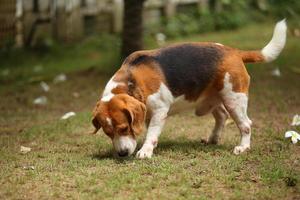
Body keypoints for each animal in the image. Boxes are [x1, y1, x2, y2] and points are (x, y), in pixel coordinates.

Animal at [91, 19, 286, 158]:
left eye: (124, 128)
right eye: (108, 133)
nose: (122, 154)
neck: (130, 83)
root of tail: (234, 52)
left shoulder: (160, 111)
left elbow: (151, 134)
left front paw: (145, 151)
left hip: (234, 100)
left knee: (245, 124)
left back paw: (243, 147)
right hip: (214, 99)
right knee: (222, 116)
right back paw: (213, 138)